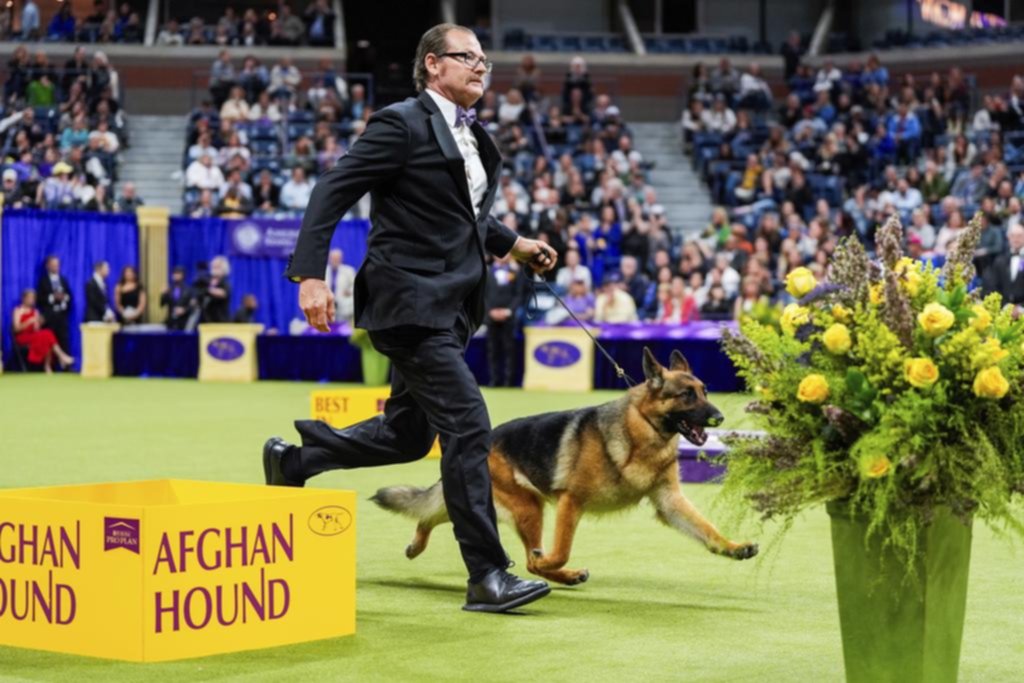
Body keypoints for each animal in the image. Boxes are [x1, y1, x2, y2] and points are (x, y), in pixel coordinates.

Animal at [372, 350, 757, 585]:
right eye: (687, 396)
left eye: (704, 391)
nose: (720, 418)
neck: (641, 432)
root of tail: (485, 439)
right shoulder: (571, 502)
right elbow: (559, 552)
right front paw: (549, 563)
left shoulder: (670, 503)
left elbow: (707, 529)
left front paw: (733, 547)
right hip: (530, 507)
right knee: (529, 557)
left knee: (435, 514)